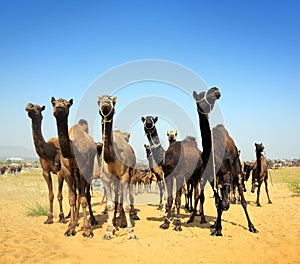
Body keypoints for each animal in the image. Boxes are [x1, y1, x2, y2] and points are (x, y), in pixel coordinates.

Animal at [51, 97, 97, 237]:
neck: (72, 150)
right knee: (77, 194)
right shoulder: (66, 171)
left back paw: (93, 220)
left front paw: (87, 229)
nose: (60, 105)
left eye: (67, 103)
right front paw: (70, 227)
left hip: (89, 170)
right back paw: (76, 221)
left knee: (86, 194)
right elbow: (72, 198)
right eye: (53, 102)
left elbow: (83, 198)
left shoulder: (83, 170)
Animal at [96, 94, 138, 239]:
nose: (105, 102)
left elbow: (125, 204)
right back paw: (114, 222)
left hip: (130, 175)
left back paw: (123, 223)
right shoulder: (105, 178)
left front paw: (131, 232)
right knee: (116, 198)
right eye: (99, 101)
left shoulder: (124, 176)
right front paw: (109, 230)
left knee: (125, 197)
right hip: (115, 180)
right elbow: (110, 205)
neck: (112, 158)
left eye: (112, 101)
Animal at [191, 87, 256, 236]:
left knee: (242, 200)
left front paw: (219, 228)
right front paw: (217, 227)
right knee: (219, 200)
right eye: (201, 96)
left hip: (237, 171)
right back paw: (215, 223)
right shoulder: (211, 176)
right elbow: (218, 202)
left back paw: (252, 226)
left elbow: (224, 203)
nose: (215, 90)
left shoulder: (227, 173)